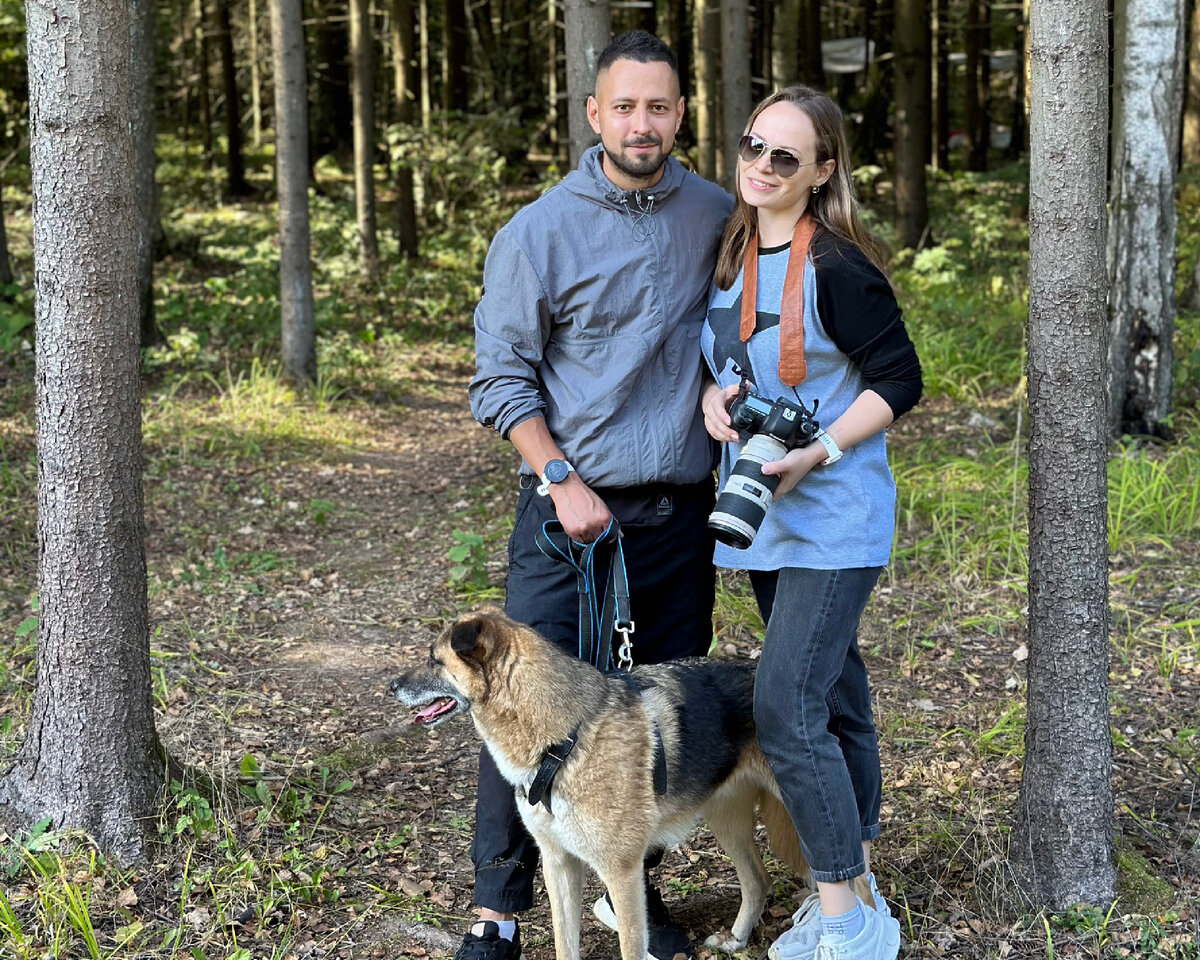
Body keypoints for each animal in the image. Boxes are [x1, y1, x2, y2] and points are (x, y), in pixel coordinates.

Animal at [393, 607, 816, 960]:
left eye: (433, 659)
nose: (393, 685)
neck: (564, 742)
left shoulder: (621, 872)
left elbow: (630, 947)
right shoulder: (558, 864)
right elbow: (565, 944)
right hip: (726, 821)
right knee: (758, 880)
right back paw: (736, 940)